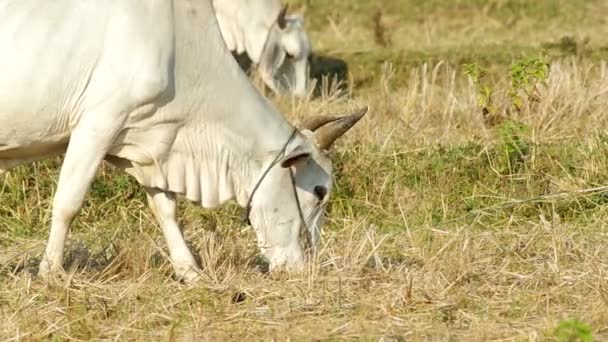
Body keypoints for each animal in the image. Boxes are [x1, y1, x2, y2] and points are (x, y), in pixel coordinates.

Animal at [0, 0, 366, 282]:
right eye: (320, 191)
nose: (306, 268)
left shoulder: (147, 143)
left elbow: (165, 209)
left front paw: (190, 271)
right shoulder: (98, 123)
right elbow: (68, 203)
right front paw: (51, 272)